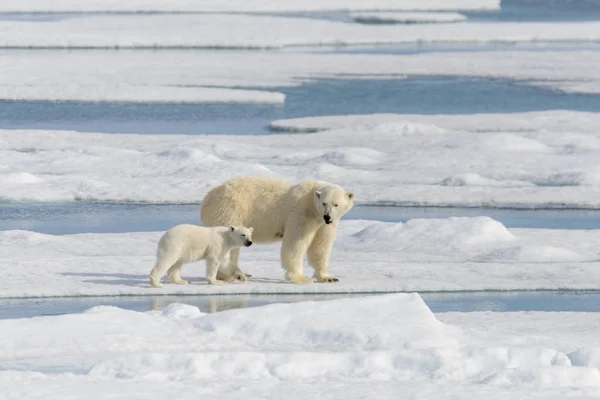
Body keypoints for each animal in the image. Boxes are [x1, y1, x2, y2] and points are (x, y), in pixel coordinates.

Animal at [199, 176, 354, 284]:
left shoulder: (324, 224)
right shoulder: (301, 214)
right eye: (324, 203)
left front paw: (328, 277)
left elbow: (321, 246)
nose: (327, 216)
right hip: (229, 210)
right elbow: (295, 243)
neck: (310, 202)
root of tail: (206, 200)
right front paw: (301, 277)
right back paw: (234, 274)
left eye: (336, 204)